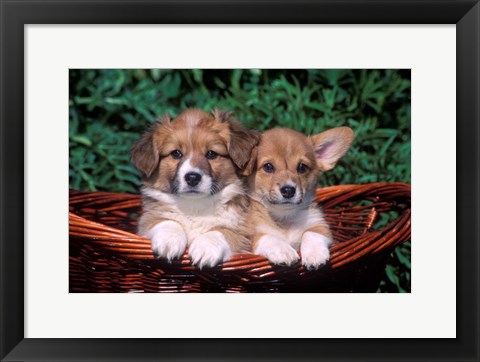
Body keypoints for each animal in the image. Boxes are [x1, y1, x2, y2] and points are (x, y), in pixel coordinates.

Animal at [131, 107, 258, 268]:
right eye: (176, 153)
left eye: (211, 154)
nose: (192, 178)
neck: (194, 206)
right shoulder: (147, 219)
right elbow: (167, 221)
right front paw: (169, 240)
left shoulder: (241, 232)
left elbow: (221, 231)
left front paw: (206, 248)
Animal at [246, 126, 354, 270]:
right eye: (268, 167)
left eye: (302, 167)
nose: (288, 190)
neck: (285, 217)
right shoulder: (252, 236)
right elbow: (270, 237)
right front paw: (284, 251)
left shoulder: (320, 226)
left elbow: (310, 233)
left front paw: (315, 255)